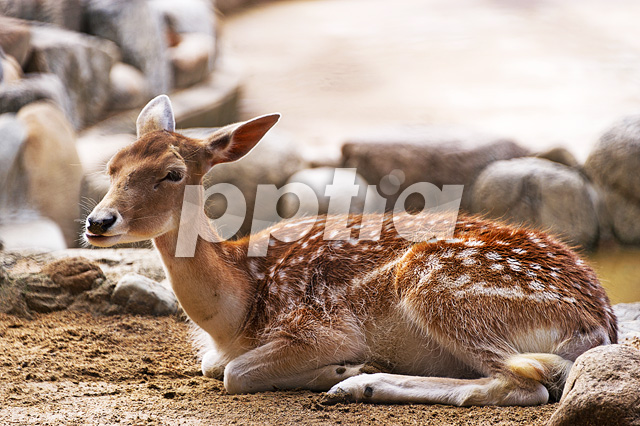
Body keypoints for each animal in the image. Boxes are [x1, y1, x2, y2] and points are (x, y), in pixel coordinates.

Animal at [85, 95, 616, 408]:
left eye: (173, 173)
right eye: (111, 166)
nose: (97, 222)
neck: (235, 314)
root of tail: (597, 326)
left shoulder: (322, 325)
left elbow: (235, 372)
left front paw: (339, 369)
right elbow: (214, 366)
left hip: (439, 284)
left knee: (526, 381)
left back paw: (357, 382)